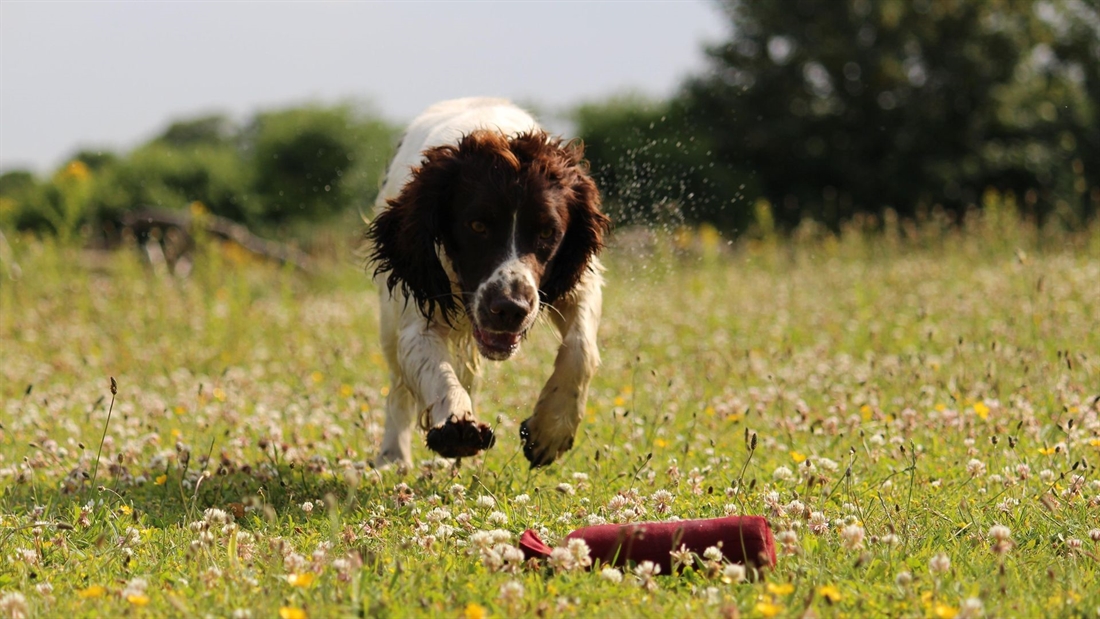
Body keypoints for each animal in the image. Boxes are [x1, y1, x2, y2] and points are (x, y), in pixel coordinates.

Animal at [367, 96, 611, 468]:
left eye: (547, 233)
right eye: (477, 225)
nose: (510, 309)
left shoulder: (579, 283)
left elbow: (580, 348)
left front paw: (551, 428)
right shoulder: (417, 315)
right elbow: (438, 373)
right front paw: (456, 424)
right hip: (389, 321)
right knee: (398, 389)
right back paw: (393, 457)